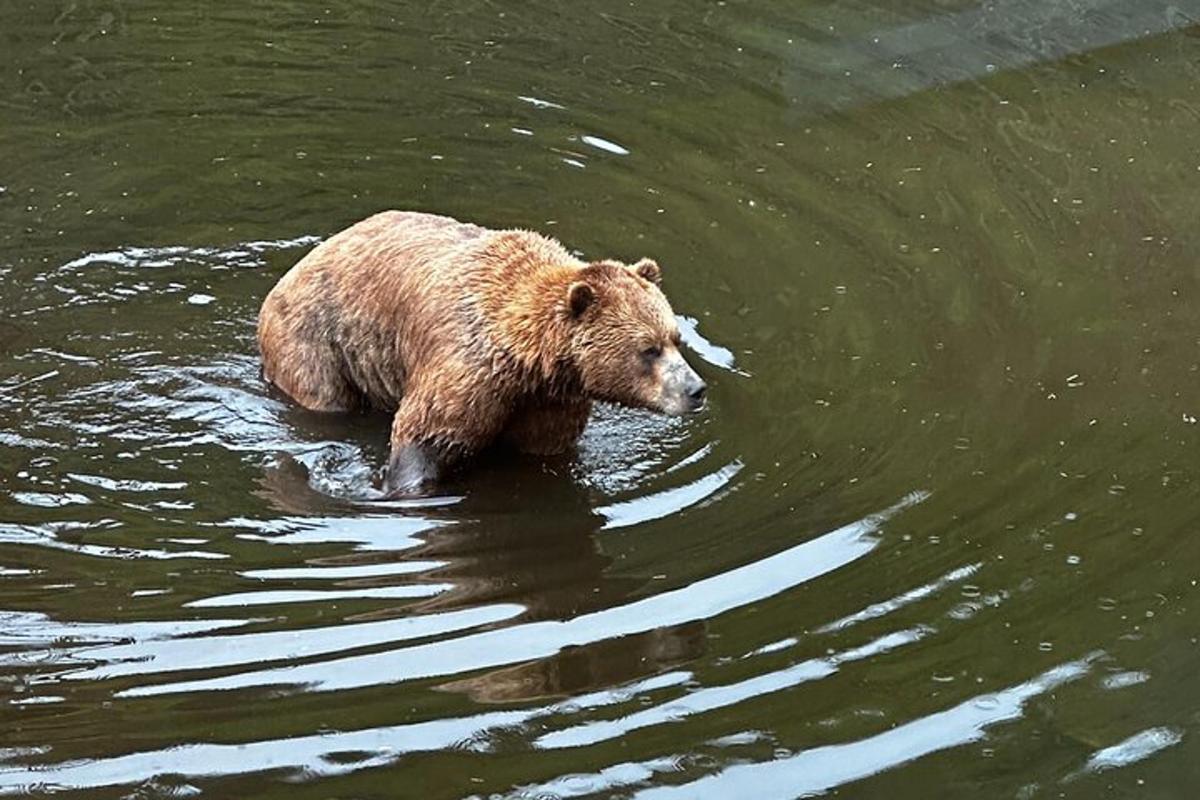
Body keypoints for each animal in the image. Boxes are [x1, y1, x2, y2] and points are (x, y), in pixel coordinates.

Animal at [254, 212, 700, 496]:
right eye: (649, 349)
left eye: (676, 338)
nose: (695, 389)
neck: (529, 359)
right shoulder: (468, 369)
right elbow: (426, 433)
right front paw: (391, 483)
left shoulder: (548, 402)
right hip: (317, 340)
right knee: (325, 396)